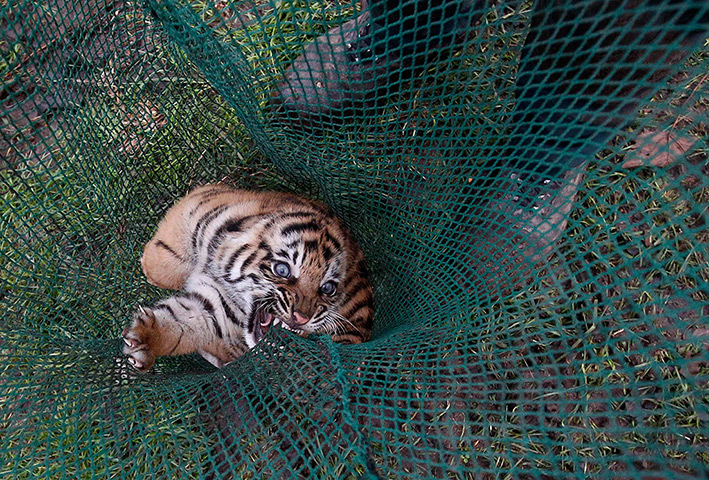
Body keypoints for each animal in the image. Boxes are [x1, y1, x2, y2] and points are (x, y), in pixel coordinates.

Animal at [121, 184, 374, 372]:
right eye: (282, 270)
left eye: (328, 288)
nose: (302, 317)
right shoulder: (197, 206)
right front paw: (143, 340)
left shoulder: (215, 311)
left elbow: (180, 323)